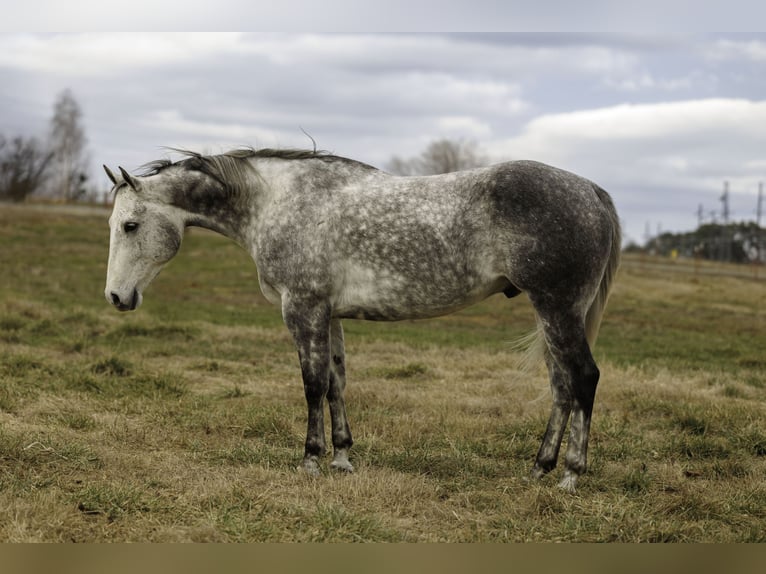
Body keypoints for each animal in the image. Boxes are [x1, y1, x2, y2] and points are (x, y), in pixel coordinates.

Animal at [103, 147, 620, 492]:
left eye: (130, 225)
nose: (116, 296)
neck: (277, 203)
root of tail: (590, 191)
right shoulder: (328, 314)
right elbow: (336, 382)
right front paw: (342, 457)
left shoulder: (303, 308)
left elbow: (312, 384)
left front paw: (311, 460)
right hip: (553, 315)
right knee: (561, 386)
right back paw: (539, 467)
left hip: (557, 310)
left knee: (584, 379)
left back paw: (570, 476)